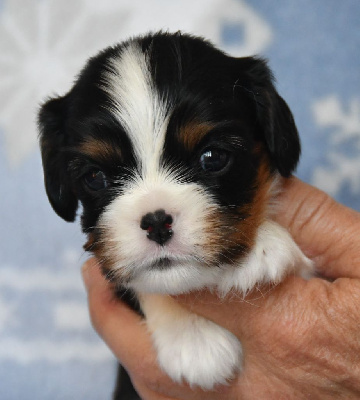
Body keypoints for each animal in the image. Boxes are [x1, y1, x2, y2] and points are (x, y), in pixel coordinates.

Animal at [38, 32, 312, 394]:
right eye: (95, 177)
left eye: (212, 157)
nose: (156, 222)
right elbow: (150, 287)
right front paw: (195, 337)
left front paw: (261, 245)